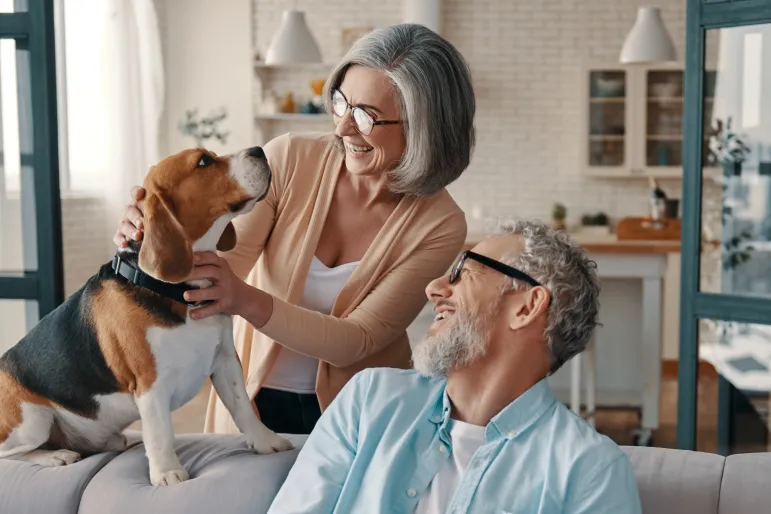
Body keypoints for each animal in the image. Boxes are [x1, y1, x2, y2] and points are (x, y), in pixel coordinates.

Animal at [0, 144, 292, 484]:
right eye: (204, 161)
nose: (259, 150)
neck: (174, 289)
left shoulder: (225, 360)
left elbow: (242, 405)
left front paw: (266, 441)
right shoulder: (150, 383)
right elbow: (161, 432)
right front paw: (167, 472)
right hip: (32, 420)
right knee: (14, 453)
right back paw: (56, 455)